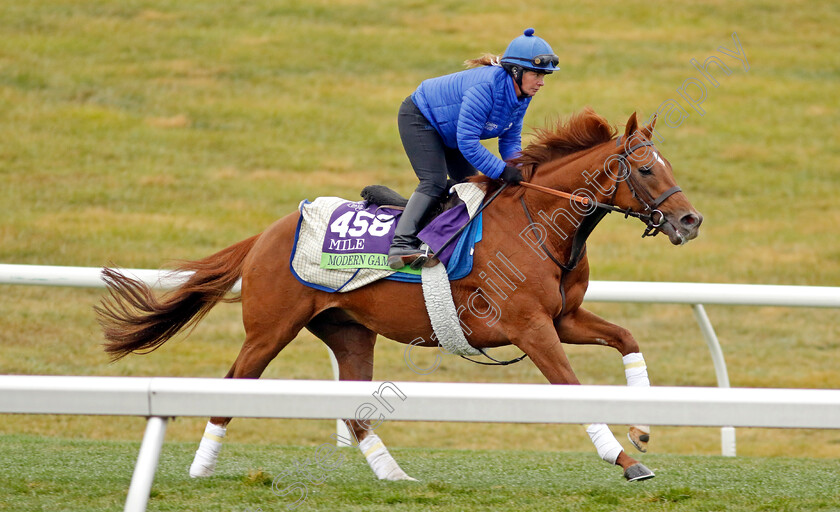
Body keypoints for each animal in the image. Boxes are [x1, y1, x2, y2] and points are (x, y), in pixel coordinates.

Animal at [95, 108, 704, 484]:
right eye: (646, 168)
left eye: (669, 165)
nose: (690, 220)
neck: (538, 224)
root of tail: (267, 233)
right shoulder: (530, 328)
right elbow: (573, 389)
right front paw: (624, 459)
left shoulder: (564, 317)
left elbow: (626, 337)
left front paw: (644, 426)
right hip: (269, 329)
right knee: (231, 388)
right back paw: (201, 469)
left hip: (349, 333)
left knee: (357, 416)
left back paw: (394, 476)